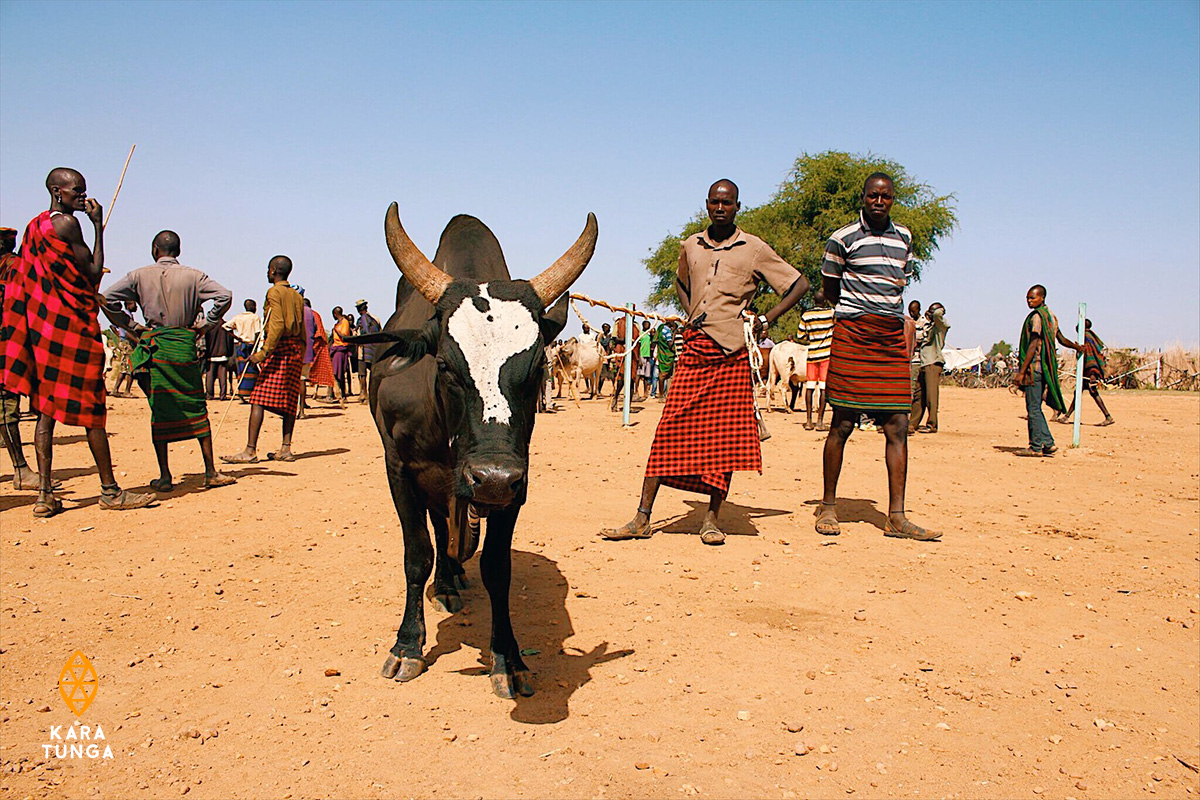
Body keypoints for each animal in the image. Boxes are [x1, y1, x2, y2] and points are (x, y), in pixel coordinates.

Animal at [350, 203, 600, 695]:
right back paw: (447, 584)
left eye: (538, 366)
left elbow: (497, 568)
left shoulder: (516, 485)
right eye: (445, 364)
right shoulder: (399, 469)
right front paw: (407, 645)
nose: (491, 477)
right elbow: (417, 555)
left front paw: (508, 657)